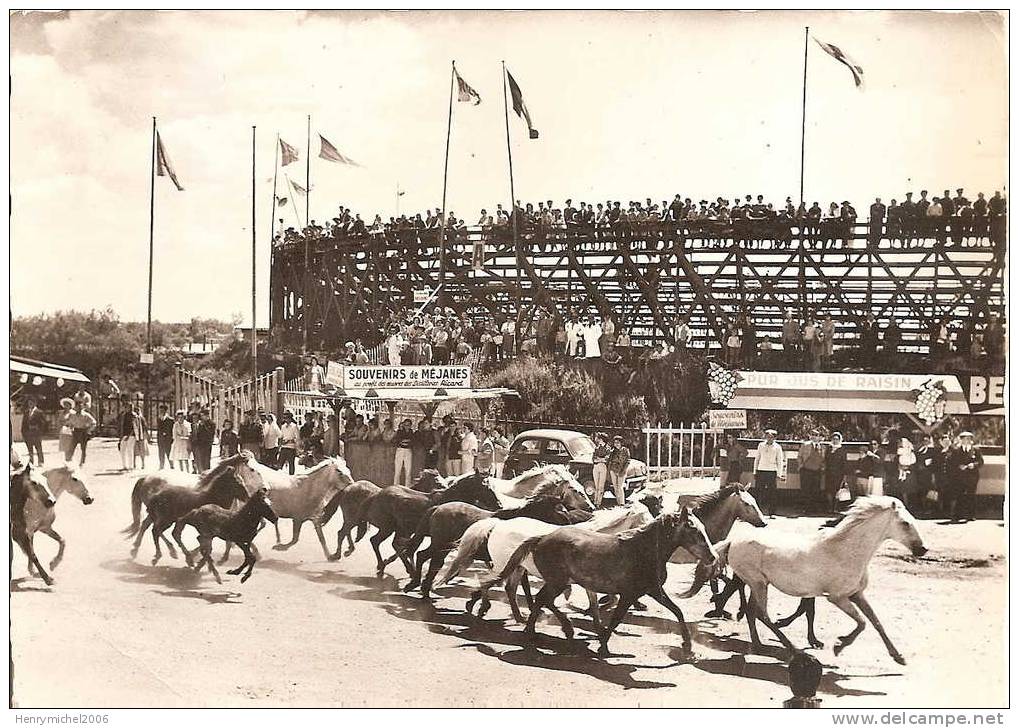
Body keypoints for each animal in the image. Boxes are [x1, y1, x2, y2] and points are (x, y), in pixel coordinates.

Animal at [438, 499, 652, 624]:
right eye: (644, 516)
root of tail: (497, 524)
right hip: (503, 565)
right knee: (490, 582)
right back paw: (483, 607)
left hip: (516, 567)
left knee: (508, 588)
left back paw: (518, 616)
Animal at [501, 507, 717, 656]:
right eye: (695, 532)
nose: (713, 557)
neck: (643, 550)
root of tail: (541, 538)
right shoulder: (629, 594)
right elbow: (616, 618)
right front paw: (603, 645)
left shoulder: (653, 590)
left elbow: (677, 611)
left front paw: (688, 646)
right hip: (558, 582)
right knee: (542, 599)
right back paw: (538, 631)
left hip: (558, 582)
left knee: (543, 600)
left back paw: (547, 629)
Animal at [680, 495, 929, 660]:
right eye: (905, 523)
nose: (922, 549)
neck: (846, 551)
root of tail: (733, 541)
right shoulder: (837, 597)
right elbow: (862, 622)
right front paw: (839, 645)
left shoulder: (856, 594)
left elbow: (876, 622)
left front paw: (898, 656)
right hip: (758, 583)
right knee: (762, 613)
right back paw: (792, 649)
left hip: (758, 583)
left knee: (752, 611)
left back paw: (759, 644)